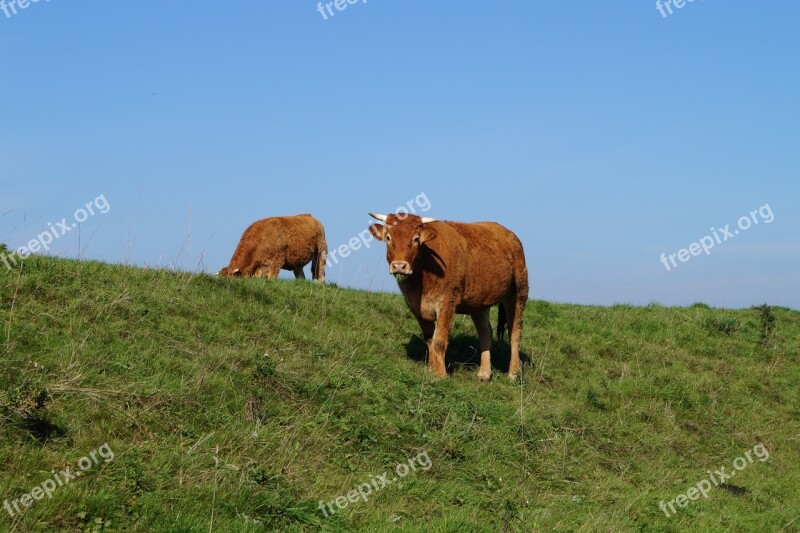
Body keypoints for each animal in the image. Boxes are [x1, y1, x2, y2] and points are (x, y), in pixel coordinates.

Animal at [370, 210, 532, 380]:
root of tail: (509, 234)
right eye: (388, 237)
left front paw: (440, 374)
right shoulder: (415, 306)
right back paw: (484, 373)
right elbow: (430, 339)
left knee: (515, 332)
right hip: (480, 302)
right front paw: (431, 369)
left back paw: (513, 373)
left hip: (518, 292)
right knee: (485, 332)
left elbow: (440, 340)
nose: (399, 266)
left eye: (416, 239)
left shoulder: (447, 302)